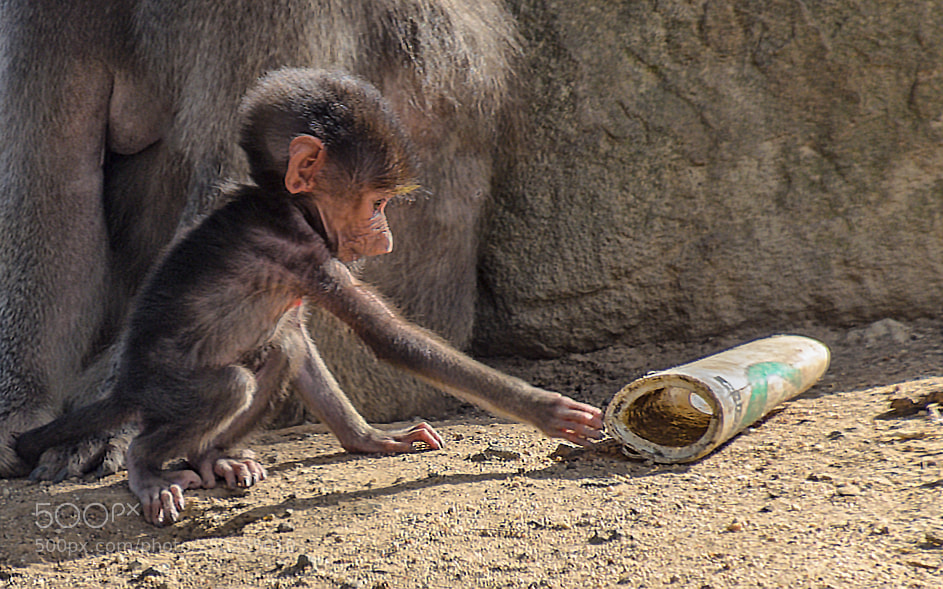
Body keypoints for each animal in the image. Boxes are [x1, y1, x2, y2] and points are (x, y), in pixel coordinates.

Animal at [15, 69, 603, 526]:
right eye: (376, 204)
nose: (387, 238)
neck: (287, 204)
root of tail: (126, 386)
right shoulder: (303, 252)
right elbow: (390, 339)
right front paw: (548, 410)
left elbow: (298, 339)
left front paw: (370, 438)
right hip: (163, 391)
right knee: (229, 385)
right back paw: (145, 466)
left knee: (281, 351)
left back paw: (213, 458)